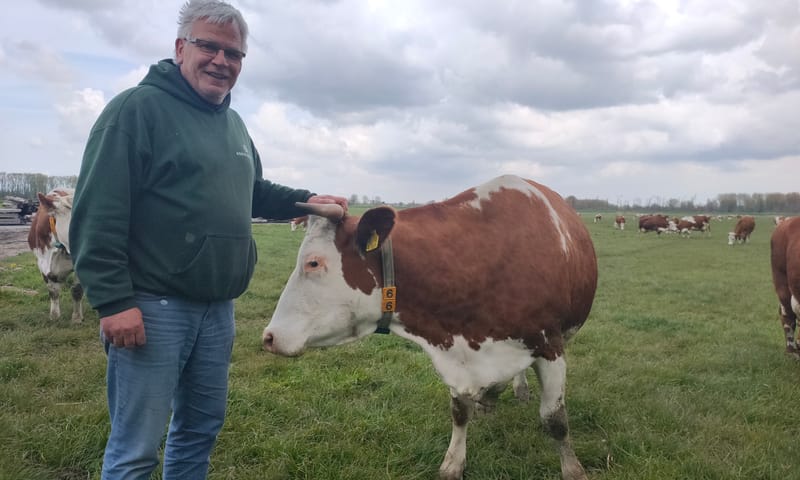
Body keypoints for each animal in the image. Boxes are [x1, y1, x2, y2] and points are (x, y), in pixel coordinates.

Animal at [262, 175, 597, 480]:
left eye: (313, 263)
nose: (269, 336)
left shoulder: (551, 347)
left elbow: (555, 420)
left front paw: (573, 470)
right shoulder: (456, 353)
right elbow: (460, 412)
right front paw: (453, 463)